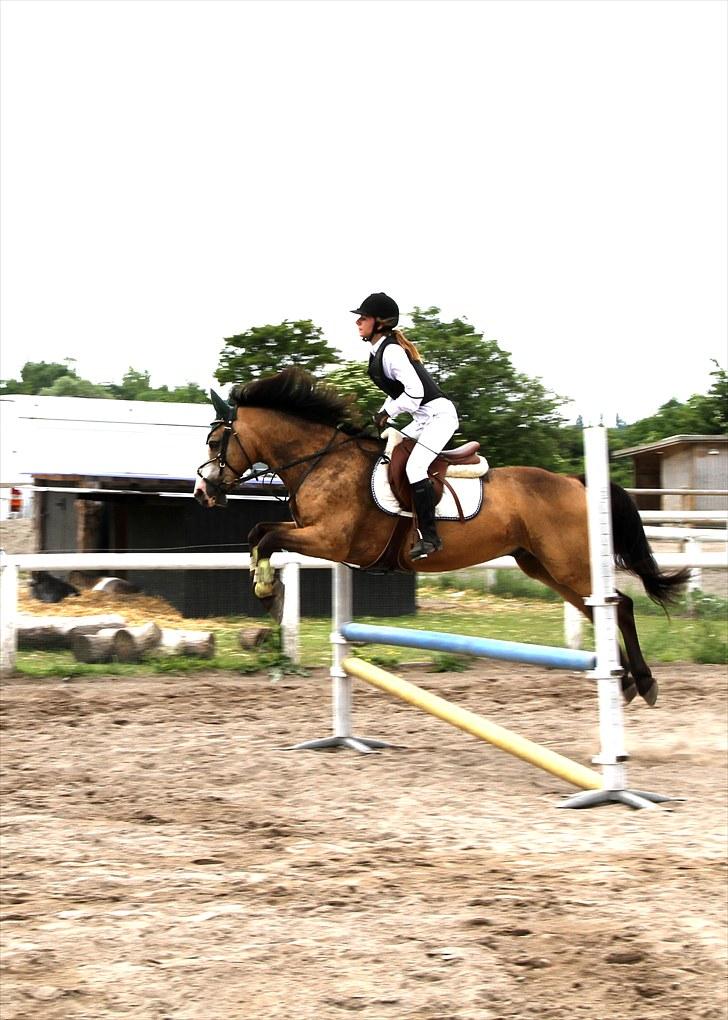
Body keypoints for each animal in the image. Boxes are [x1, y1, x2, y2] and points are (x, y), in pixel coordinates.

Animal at [191, 367, 685, 709]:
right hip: (543, 566)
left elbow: (267, 538)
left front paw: (268, 593)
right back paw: (624, 681)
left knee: (620, 605)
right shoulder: (317, 537)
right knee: (601, 611)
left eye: (216, 442)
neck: (322, 460)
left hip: (568, 563)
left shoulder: (330, 541)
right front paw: (269, 592)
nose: (202, 492)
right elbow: (258, 533)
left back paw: (643, 681)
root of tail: (575, 481)